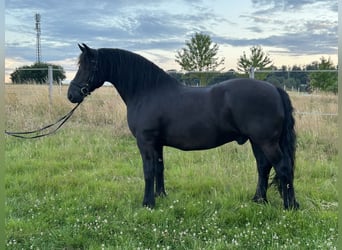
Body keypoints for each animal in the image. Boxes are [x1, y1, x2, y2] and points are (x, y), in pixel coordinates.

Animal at [68, 44, 298, 210]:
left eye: (88, 66)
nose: (72, 95)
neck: (147, 92)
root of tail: (274, 89)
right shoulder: (157, 144)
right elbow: (159, 168)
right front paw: (160, 196)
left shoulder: (146, 141)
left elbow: (148, 170)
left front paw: (147, 203)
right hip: (257, 141)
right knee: (263, 166)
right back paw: (259, 200)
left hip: (266, 141)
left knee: (283, 166)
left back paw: (290, 206)